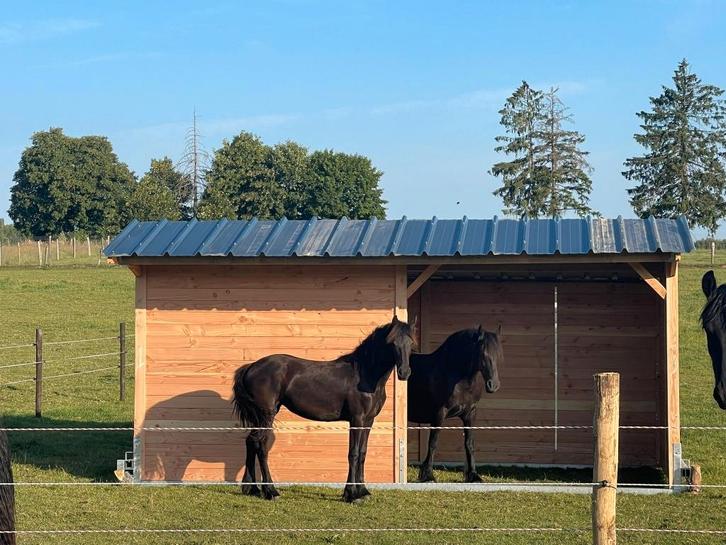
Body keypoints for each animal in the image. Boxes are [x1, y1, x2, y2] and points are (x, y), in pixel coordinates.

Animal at [232, 316, 415, 503]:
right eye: (392, 343)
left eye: (411, 343)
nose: (404, 372)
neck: (364, 376)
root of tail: (251, 367)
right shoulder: (357, 419)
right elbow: (354, 453)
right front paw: (351, 494)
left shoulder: (368, 420)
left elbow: (363, 453)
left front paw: (362, 491)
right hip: (266, 415)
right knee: (261, 446)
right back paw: (271, 491)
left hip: (261, 416)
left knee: (251, 442)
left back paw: (252, 489)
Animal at [408, 325, 503, 483]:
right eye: (483, 353)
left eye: (499, 354)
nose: (493, 385)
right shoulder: (439, 413)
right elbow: (433, 443)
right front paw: (428, 475)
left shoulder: (470, 413)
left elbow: (469, 443)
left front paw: (473, 475)